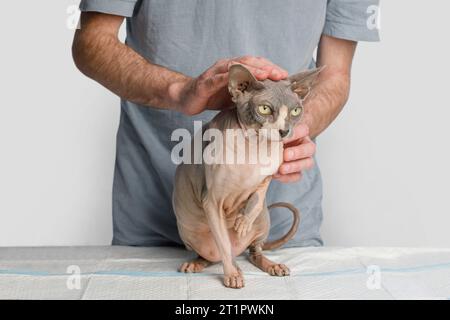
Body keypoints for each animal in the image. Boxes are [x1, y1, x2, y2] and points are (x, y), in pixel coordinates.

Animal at [172, 63, 324, 288]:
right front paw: (232, 275)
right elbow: (224, 244)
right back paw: (202, 264)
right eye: (264, 109)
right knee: (216, 253)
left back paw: (272, 265)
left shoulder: (269, 175)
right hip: (190, 236)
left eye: (296, 111)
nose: (285, 131)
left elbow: (259, 198)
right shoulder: (211, 200)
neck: (255, 147)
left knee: (254, 252)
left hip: (263, 223)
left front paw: (244, 221)